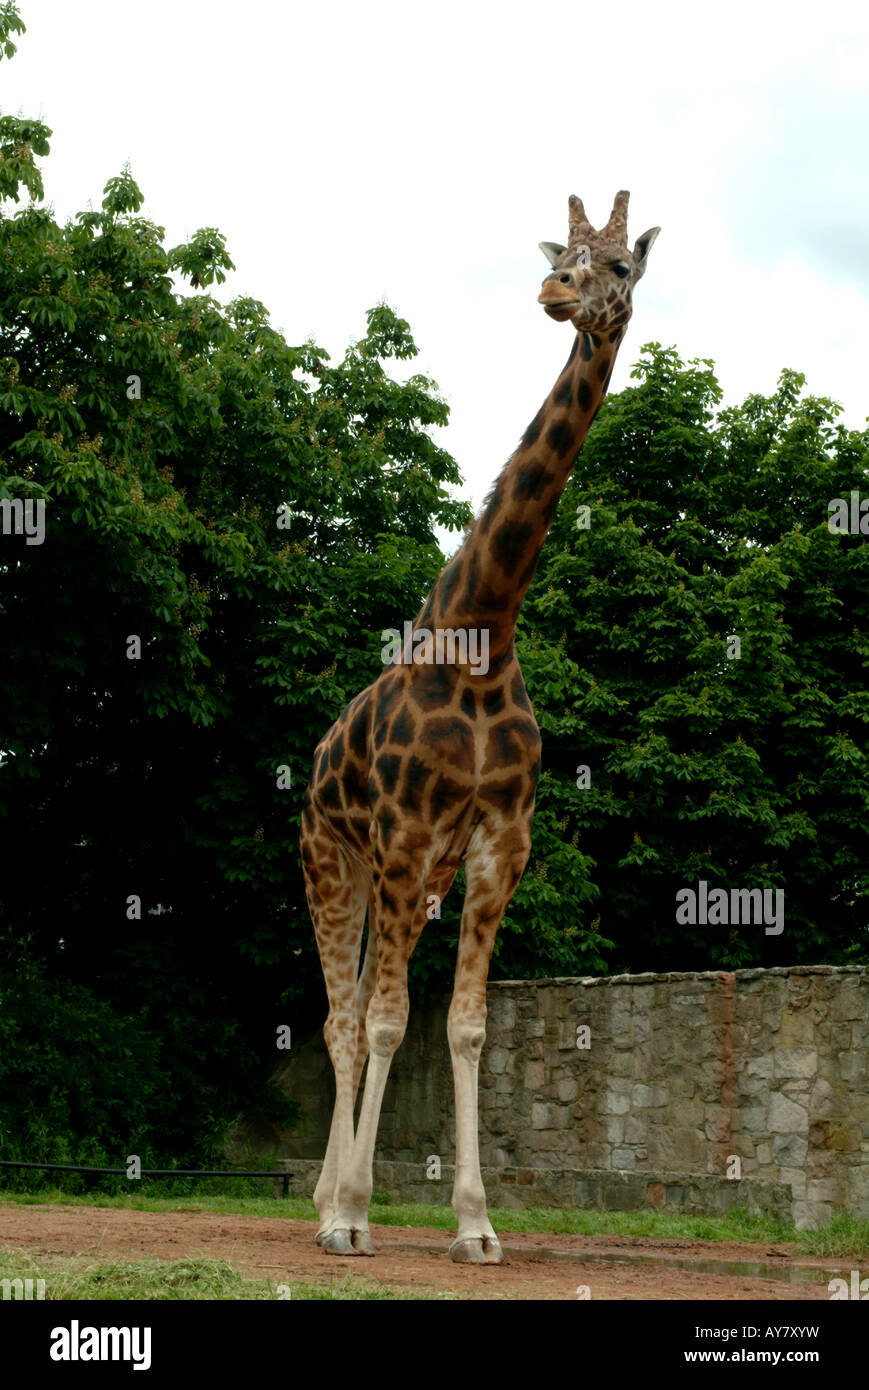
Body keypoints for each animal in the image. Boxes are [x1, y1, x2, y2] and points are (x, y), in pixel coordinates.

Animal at [300, 184, 656, 1262]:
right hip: (333, 859)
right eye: (559, 257)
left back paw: (323, 1199)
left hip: (405, 880)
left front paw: (474, 1223)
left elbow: (461, 1026)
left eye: (617, 266)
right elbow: (382, 1023)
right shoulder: (402, 832)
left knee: (356, 1007)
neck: (482, 636)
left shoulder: (500, 840)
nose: (556, 294)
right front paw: (355, 1214)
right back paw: (325, 1209)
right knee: (338, 1019)